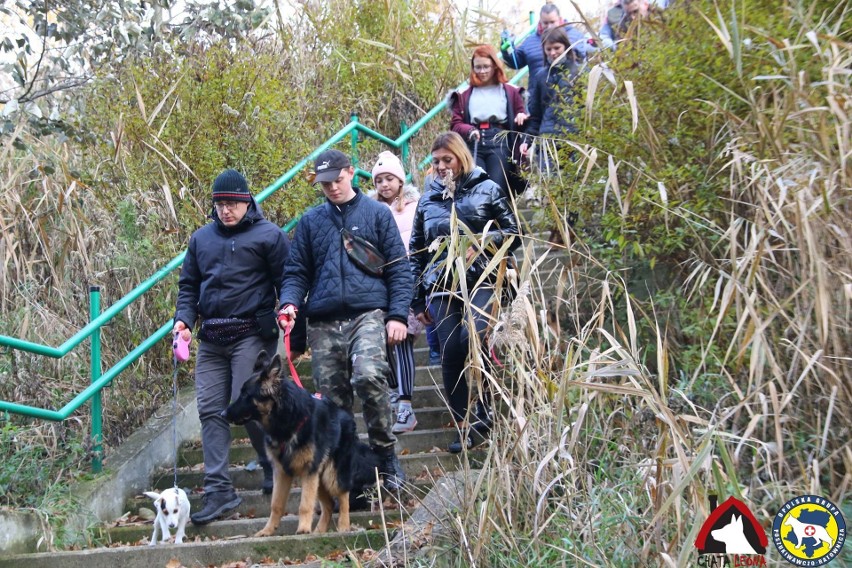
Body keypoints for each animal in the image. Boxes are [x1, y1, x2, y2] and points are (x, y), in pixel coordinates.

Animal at [223, 348, 380, 536]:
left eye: (246, 395)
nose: (223, 414)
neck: (287, 421)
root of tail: (346, 416)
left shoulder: (308, 471)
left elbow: (305, 505)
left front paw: (303, 529)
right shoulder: (281, 472)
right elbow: (276, 505)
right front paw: (268, 530)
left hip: (331, 475)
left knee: (343, 496)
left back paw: (343, 526)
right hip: (319, 479)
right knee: (328, 504)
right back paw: (319, 531)